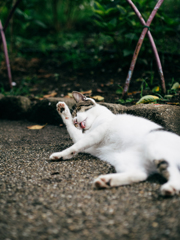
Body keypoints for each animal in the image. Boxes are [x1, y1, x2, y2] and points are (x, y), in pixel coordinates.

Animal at [49, 91, 180, 196]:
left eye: (77, 112)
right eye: (74, 119)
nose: (76, 121)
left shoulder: (96, 133)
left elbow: (75, 145)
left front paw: (61, 153)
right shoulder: (84, 139)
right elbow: (72, 132)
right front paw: (63, 111)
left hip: (154, 148)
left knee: (174, 175)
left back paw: (170, 188)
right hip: (125, 160)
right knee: (140, 175)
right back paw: (106, 181)